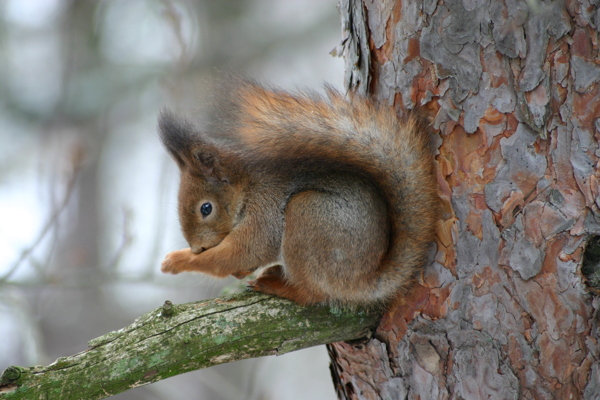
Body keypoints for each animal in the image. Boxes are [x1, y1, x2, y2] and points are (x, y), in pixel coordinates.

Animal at [158, 80, 440, 306]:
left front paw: (177, 260)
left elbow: (240, 253)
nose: (198, 247)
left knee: (313, 294)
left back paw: (277, 285)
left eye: (206, 208)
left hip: (308, 216)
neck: (247, 189)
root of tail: (365, 280)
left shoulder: (265, 212)